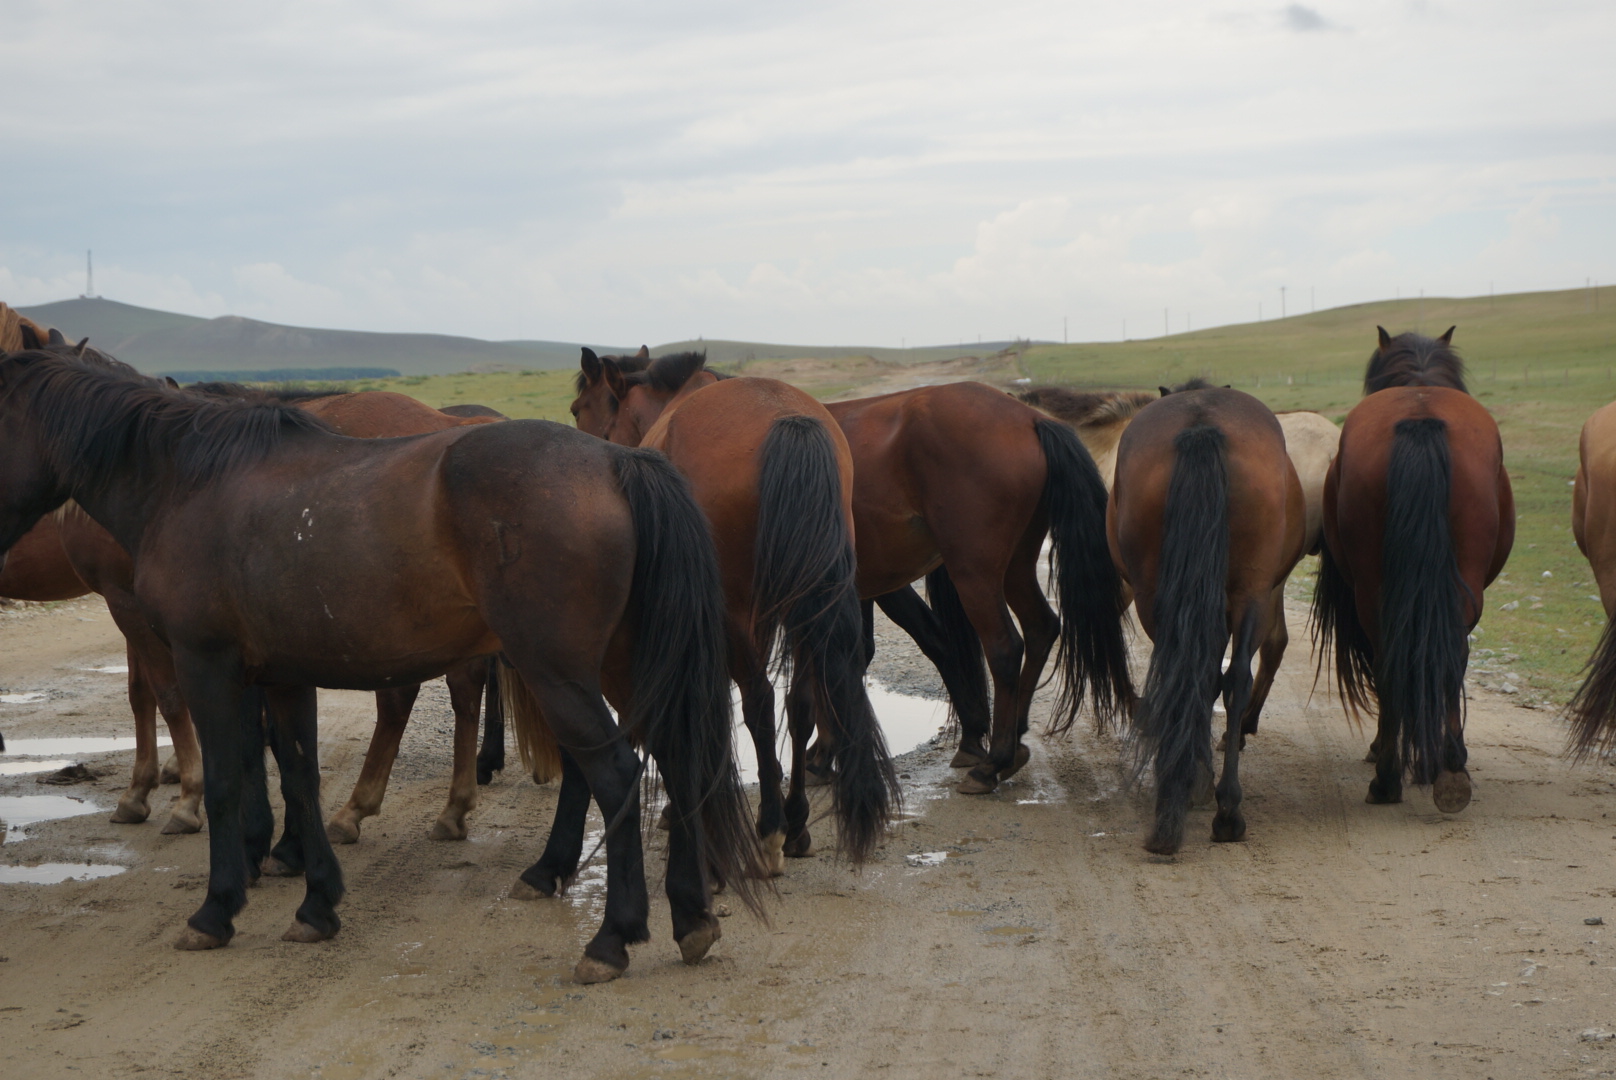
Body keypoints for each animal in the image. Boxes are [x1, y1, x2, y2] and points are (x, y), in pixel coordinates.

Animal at [0, 350, 762, 982]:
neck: (191, 481)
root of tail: (616, 464)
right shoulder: (281, 674)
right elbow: (298, 777)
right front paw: (316, 903)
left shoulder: (207, 665)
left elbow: (223, 783)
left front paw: (217, 910)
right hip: (619, 669)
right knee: (676, 763)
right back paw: (688, 917)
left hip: (560, 673)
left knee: (618, 777)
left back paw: (611, 939)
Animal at [568, 350, 898, 873]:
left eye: (579, 408)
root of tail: (788, 420)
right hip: (808, 601)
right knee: (801, 701)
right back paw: (797, 824)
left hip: (740, 613)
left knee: (760, 703)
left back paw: (770, 830)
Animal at [581, 350, 1137, 798]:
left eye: (578, 409)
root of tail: (1028, 418)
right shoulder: (864, 588)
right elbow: (862, 656)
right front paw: (831, 752)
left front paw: (823, 755)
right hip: (1015, 566)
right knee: (1042, 627)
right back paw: (1012, 733)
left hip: (975, 572)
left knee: (1003, 646)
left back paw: (994, 759)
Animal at [1105, 379, 1305, 853]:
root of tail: (1201, 426)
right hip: (1250, 593)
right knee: (1232, 681)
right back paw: (1225, 809)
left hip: (1161, 598)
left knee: (1204, 675)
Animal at [1312, 324, 1512, 814]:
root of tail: (1420, 419)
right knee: (1441, 658)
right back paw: (1437, 770)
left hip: (1376, 592)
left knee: (1402, 661)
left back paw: (1404, 774)